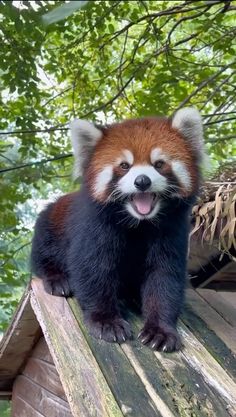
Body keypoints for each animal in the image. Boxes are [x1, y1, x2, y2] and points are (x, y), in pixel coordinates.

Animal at [30, 106, 205, 352]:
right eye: (124, 166)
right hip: (49, 226)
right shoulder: (94, 228)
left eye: (159, 164)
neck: (138, 223)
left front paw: (161, 330)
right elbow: (94, 270)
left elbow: (164, 277)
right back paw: (57, 279)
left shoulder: (171, 233)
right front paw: (106, 321)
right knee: (43, 255)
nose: (142, 181)